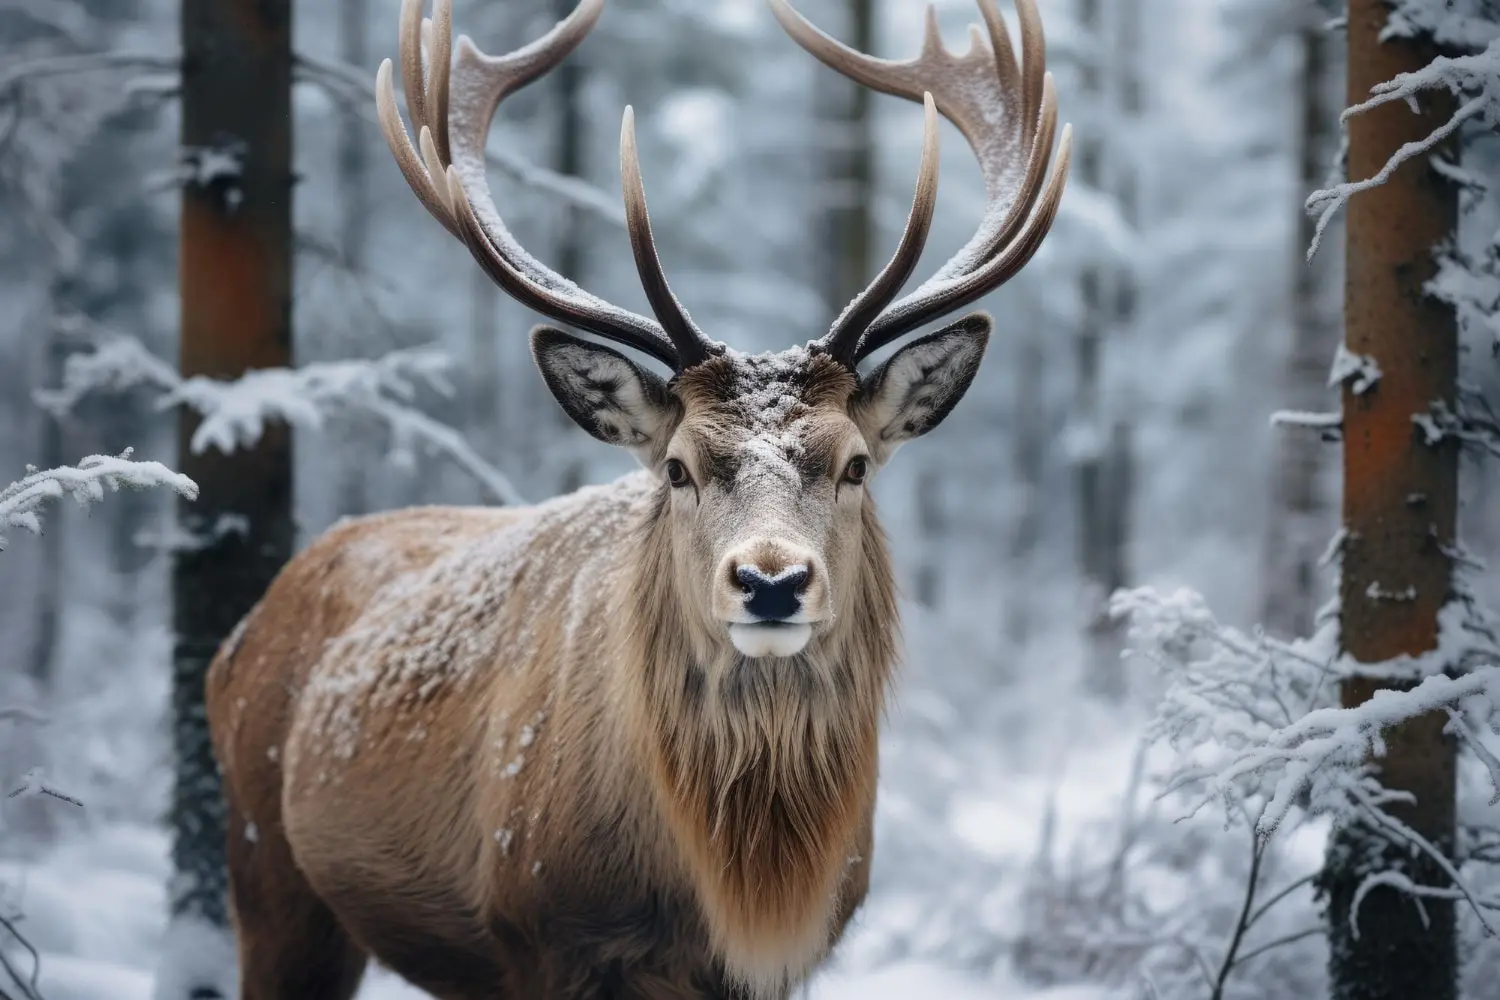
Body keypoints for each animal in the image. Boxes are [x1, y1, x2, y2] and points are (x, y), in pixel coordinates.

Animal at [205, 0, 1074, 995]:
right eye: (679, 468)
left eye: (856, 464)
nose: (770, 582)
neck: (736, 893)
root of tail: (239, 637)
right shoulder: (538, 930)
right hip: (268, 871)